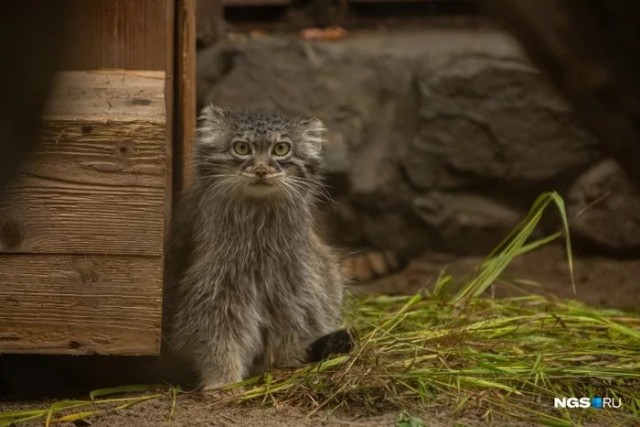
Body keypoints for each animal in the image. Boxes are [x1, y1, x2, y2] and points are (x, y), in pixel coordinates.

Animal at [162, 105, 348, 392]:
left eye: (281, 149)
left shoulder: (294, 287)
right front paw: (224, 382)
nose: (261, 170)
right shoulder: (216, 289)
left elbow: (291, 328)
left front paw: (285, 364)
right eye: (242, 148)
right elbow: (218, 337)